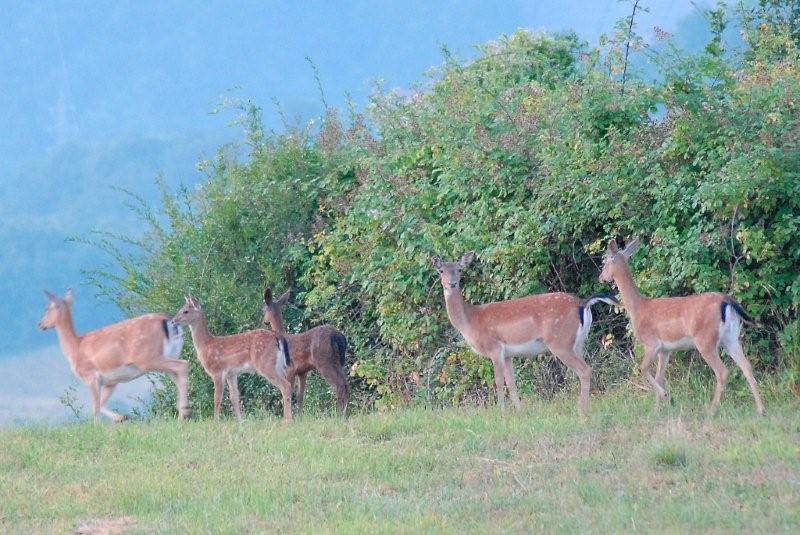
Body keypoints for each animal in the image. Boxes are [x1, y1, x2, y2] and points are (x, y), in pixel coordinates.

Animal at [36, 288, 191, 422]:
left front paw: (97, 427)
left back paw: (184, 413)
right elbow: (101, 404)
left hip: (148, 358)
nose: (40, 324)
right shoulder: (111, 382)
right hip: (170, 354)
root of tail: (169, 323)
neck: (75, 348)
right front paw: (121, 418)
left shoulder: (90, 376)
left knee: (183, 365)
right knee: (178, 374)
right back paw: (181, 414)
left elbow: (95, 407)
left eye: (47, 308)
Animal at [173, 294, 294, 422]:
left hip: (265, 363)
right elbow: (234, 397)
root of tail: (278, 337)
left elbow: (217, 398)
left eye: (185, 311)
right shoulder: (231, 373)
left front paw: (215, 421)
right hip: (279, 365)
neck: (205, 345)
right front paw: (240, 421)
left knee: (285, 386)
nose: (173, 321)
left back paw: (287, 421)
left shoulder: (217, 371)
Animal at [262, 288, 350, 418]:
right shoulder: (302, 372)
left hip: (325, 361)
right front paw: (299, 417)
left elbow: (287, 393)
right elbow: (300, 397)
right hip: (338, 362)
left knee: (339, 386)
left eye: (263, 309)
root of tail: (338, 337)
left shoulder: (290, 370)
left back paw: (339, 415)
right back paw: (345, 414)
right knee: (346, 384)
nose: (265, 321)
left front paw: (290, 418)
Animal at [434, 253, 616, 416]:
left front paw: (502, 414)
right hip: (578, 343)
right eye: (441, 271)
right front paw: (520, 412)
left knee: (584, 370)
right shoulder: (507, 354)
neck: (470, 321)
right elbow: (511, 382)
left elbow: (498, 381)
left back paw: (581, 412)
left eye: (459, 269)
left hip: (560, 342)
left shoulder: (494, 348)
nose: (452, 283)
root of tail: (582, 303)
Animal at [600, 239, 764, 418]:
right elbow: (659, 377)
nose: (601, 277)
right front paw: (657, 410)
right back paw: (761, 410)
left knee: (723, 372)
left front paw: (666, 397)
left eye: (605, 262)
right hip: (731, 338)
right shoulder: (665, 350)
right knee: (747, 367)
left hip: (705, 340)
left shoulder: (651, 343)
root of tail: (727, 301)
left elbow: (643, 369)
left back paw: (711, 410)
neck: (637, 308)